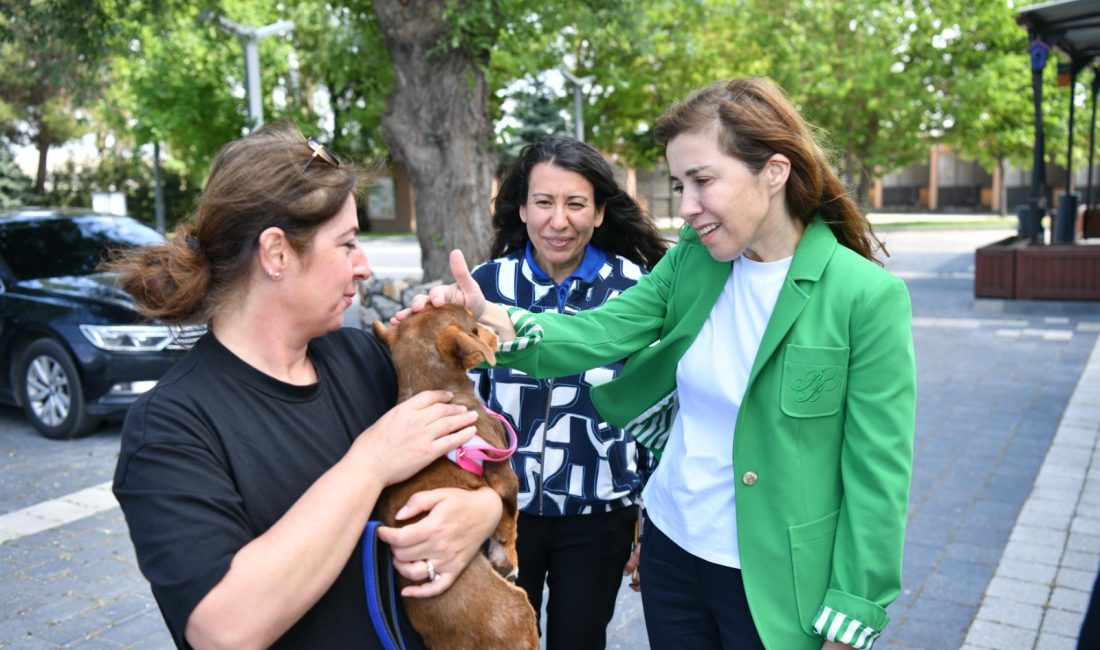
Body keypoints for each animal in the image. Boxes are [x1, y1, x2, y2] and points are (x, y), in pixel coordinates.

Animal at [371, 305, 539, 650]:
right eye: (475, 329)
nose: (496, 331)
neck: (430, 389)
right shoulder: (505, 475)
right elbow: (510, 522)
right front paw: (508, 558)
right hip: (521, 609)